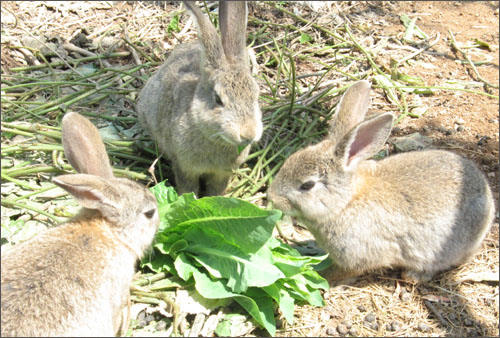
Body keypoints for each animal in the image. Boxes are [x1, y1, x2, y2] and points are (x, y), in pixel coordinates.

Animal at [137, 0, 262, 197]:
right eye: (218, 99)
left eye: (256, 96)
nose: (248, 134)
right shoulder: (185, 167)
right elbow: (188, 189)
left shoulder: (222, 174)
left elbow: (215, 192)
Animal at [268, 80, 494, 282]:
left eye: (307, 185)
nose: (272, 198)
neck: (345, 203)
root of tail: (489, 200)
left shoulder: (358, 256)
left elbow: (341, 272)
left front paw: (320, 277)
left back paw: (414, 276)